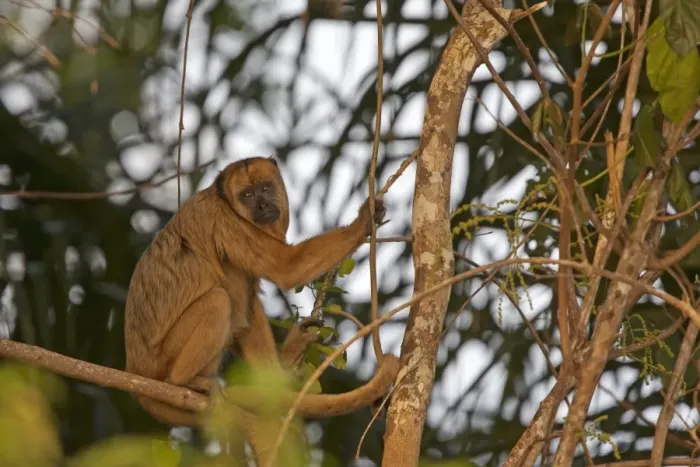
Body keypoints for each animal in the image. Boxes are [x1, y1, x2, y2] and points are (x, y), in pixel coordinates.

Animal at [123, 156, 399, 456]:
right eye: (247, 195)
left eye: (266, 188)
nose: (263, 206)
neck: (224, 200)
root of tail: (135, 371)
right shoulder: (226, 223)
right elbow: (285, 268)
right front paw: (362, 223)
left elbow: (247, 317)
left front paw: (281, 369)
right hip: (162, 359)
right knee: (219, 300)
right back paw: (184, 381)